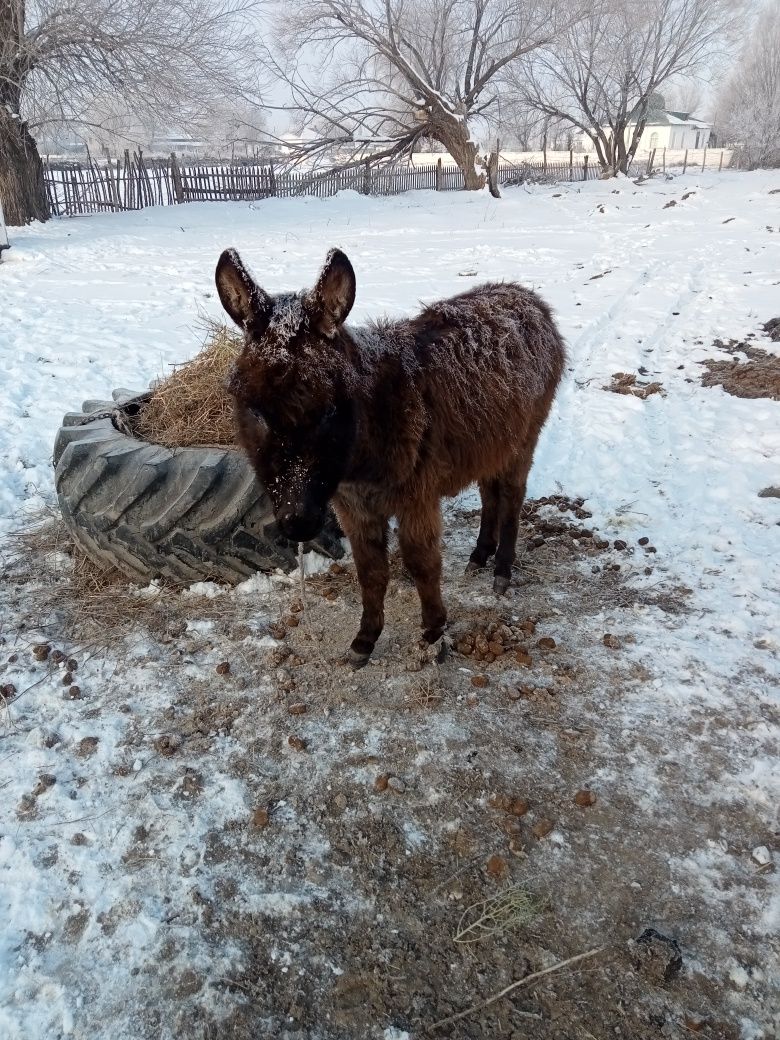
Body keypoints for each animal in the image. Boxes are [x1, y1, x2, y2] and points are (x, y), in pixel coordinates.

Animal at [217, 246, 565, 665]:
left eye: (331, 409)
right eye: (254, 410)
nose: (298, 523)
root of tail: (526, 296)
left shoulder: (416, 496)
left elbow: (422, 563)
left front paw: (433, 632)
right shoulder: (353, 506)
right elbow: (369, 571)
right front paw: (364, 640)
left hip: (523, 439)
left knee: (512, 497)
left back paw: (501, 570)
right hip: (488, 445)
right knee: (489, 495)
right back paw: (480, 555)